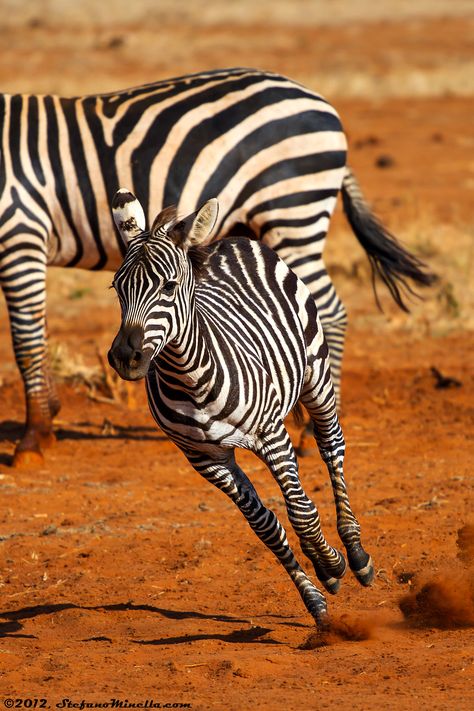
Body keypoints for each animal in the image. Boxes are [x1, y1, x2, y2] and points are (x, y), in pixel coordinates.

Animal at [0, 67, 436, 468]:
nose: (126, 355)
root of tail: (317, 98)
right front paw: (46, 423)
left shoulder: (20, 231)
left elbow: (26, 339)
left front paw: (33, 438)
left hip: (293, 213)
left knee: (329, 310)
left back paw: (312, 431)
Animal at [107, 188, 374, 628]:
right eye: (117, 288)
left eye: (169, 286)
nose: (126, 357)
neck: (190, 378)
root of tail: (230, 239)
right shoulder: (205, 458)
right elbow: (266, 527)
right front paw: (315, 599)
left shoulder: (271, 434)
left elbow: (301, 511)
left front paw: (332, 563)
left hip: (316, 372)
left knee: (332, 448)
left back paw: (354, 550)